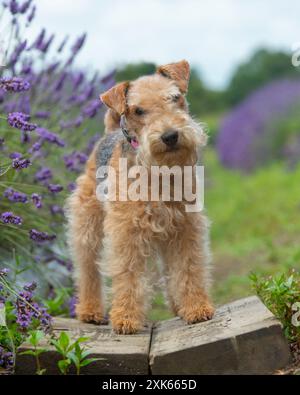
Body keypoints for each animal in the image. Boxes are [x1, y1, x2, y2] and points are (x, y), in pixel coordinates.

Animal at [67, 60, 214, 336]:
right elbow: (128, 276)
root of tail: (111, 131)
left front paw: (197, 308)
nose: (170, 136)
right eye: (138, 110)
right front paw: (126, 319)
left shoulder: (186, 226)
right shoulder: (127, 231)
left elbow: (188, 268)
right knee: (87, 268)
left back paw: (178, 306)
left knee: (170, 270)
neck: (159, 171)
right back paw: (90, 311)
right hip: (87, 226)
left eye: (175, 97)